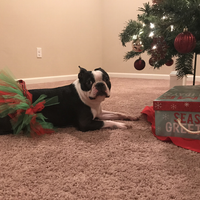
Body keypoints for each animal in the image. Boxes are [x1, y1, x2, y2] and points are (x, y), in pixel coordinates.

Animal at [0, 66, 140, 135]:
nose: (100, 84)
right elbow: (107, 122)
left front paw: (131, 117)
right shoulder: (85, 123)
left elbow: (117, 113)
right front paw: (122, 125)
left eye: (106, 79)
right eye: (89, 82)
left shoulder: (98, 113)